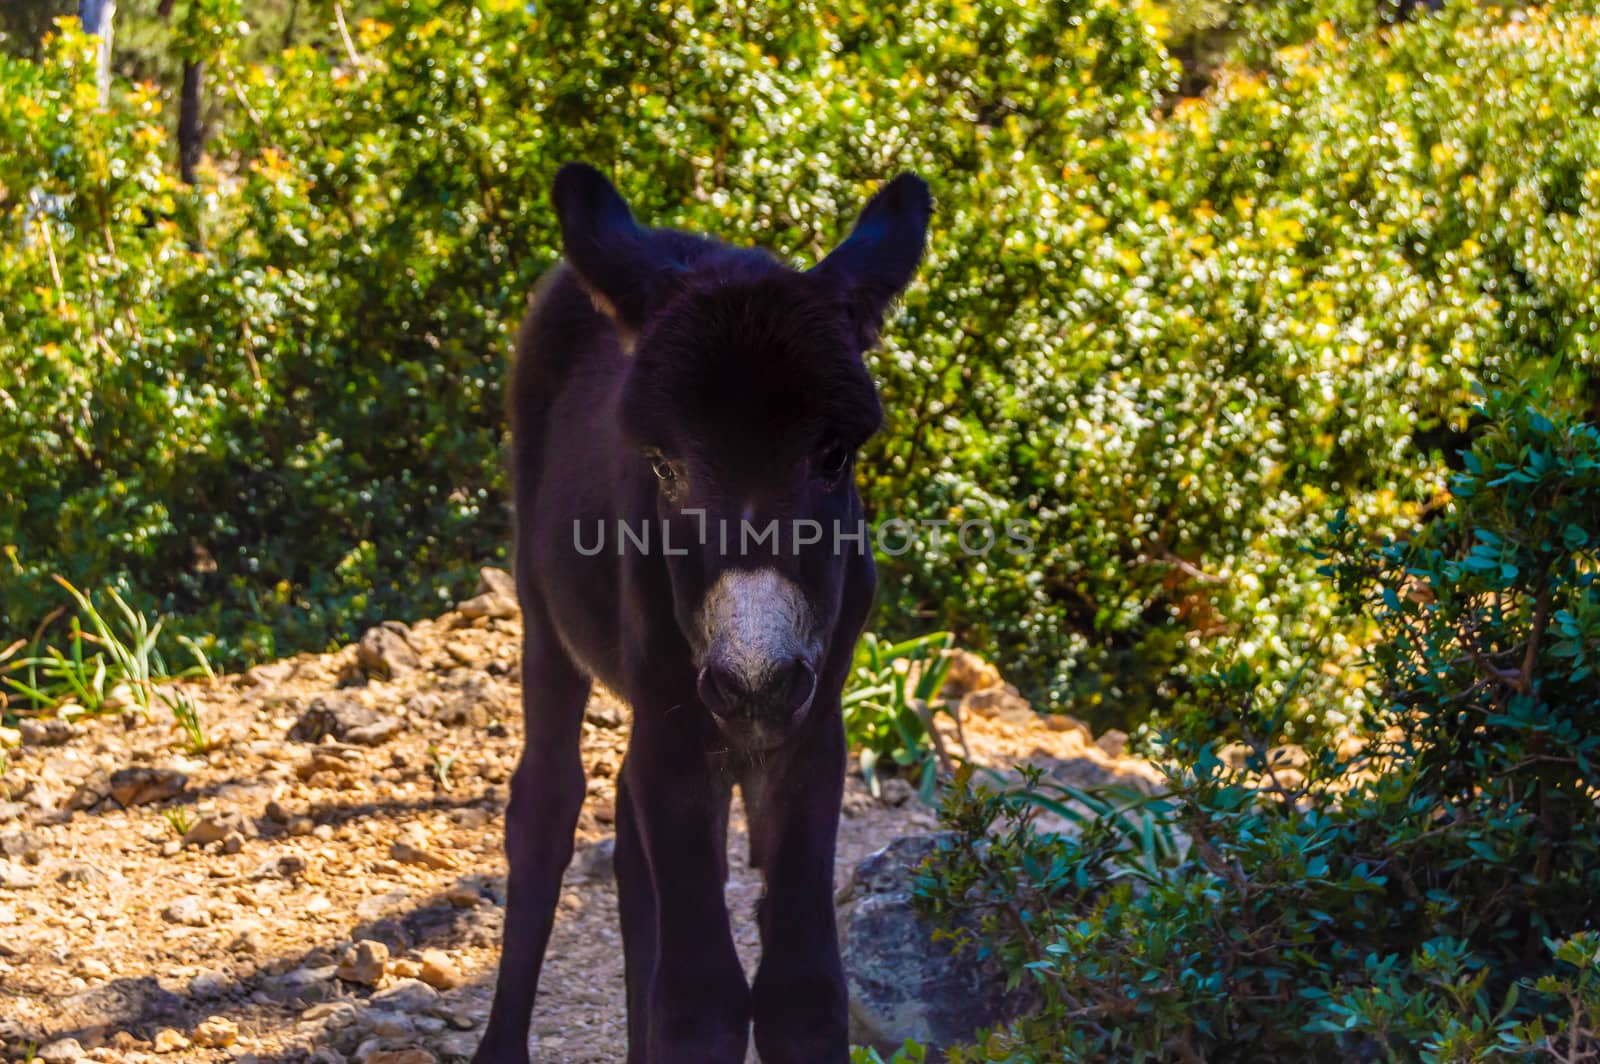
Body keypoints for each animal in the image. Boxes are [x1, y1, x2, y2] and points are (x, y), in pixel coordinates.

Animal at [467, 164, 934, 1062]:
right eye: (662, 463)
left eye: (835, 455)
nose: (755, 682)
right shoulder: (678, 717)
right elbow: (701, 997)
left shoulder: (814, 730)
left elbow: (801, 990)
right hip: (547, 616)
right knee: (546, 804)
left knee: (625, 835)